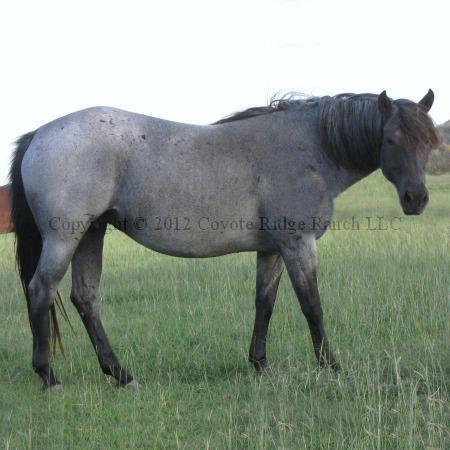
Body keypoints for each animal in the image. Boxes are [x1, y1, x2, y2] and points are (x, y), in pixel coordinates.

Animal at [9, 89, 440, 388]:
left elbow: (264, 303)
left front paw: (260, 364)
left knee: (86, 298)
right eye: (390, 139)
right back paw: (49, 376)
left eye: (427, 141)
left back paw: (121, 375)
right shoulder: (298, 244)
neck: (310, 146)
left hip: (90, 235)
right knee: (41, 291)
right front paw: (330, 365)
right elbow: (312, 306)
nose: (416, 199)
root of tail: (40, 133)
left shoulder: (272, 249)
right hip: (65, 238)